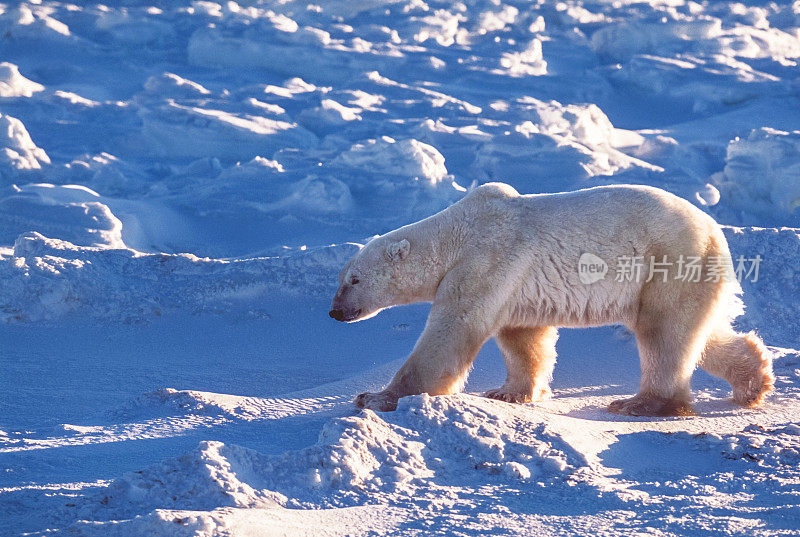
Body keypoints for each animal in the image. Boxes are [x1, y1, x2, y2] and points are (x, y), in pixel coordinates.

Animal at [328, 182, 772, 416]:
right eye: (341, 278)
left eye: (353, 279)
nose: (334, 312)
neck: (456, 233)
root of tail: (715, 233)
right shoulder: (511, 285)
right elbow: (524, 338)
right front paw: (509, 393)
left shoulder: (487, 262)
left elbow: (449, 337)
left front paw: (374, 397)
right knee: (700, 333)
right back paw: (754, 380)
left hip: (667, 264)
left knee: (663, 334)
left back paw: (639, 403)